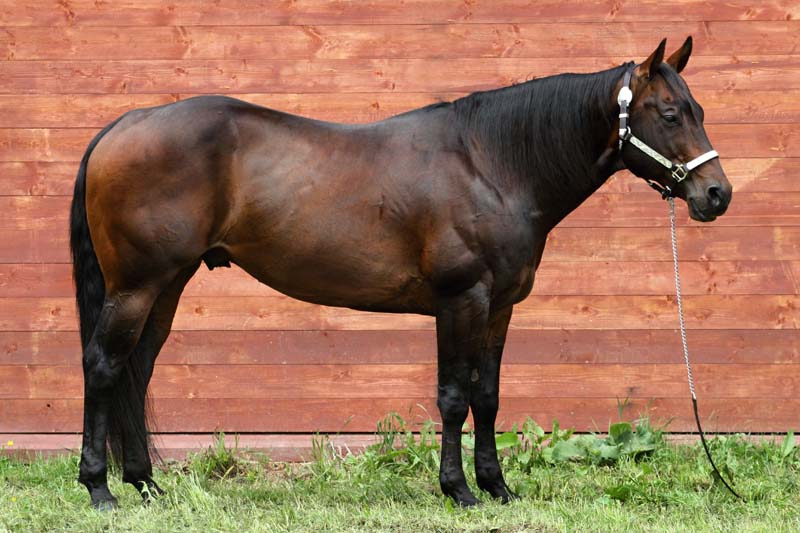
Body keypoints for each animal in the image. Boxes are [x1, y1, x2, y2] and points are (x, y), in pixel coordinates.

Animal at [70, 36, 731, 509]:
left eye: (697, 109)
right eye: (669, 113)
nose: (716, 194)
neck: (492, 164)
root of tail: (126, 123)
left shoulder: (499, 307)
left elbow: (488, 397)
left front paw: (497, 487)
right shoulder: (462, 300)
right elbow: (453, 398)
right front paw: (458, 490)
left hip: (167, 285)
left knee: (137, 370)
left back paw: (146, 485)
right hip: (136, 286)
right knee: (104, 367)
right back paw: (100, 488)